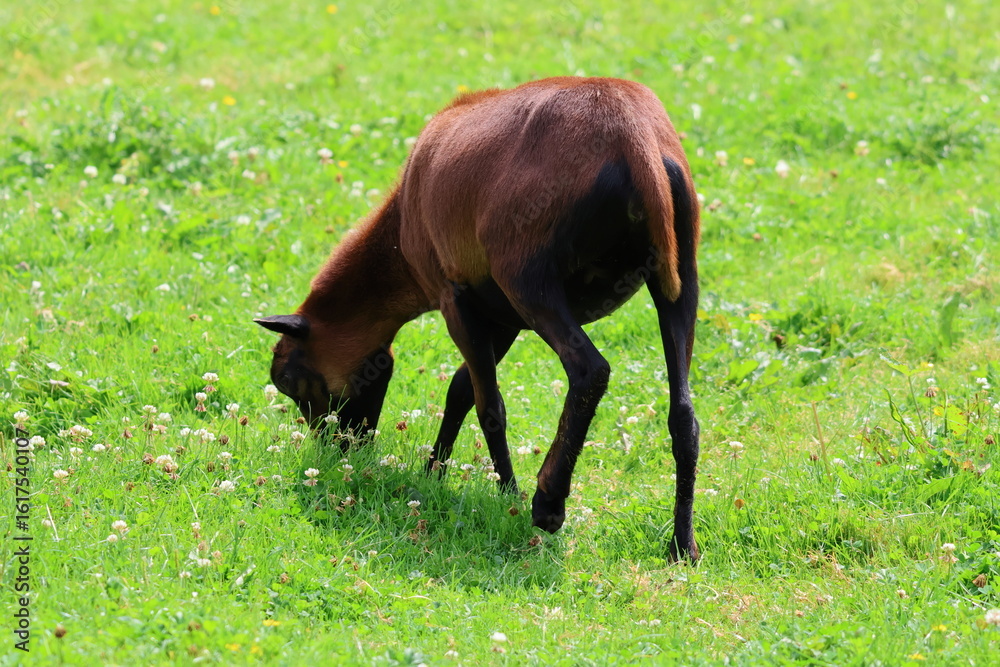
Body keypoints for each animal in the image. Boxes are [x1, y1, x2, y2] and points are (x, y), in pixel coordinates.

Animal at [256, 76, 701, 560]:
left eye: (289, 379)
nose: (337, 449)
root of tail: (636, 142)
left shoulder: (456, 298)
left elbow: (489, 406)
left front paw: (507, 493)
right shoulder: (500, 317)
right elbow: (460, 391)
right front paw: (434, 471)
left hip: (529, 277)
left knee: (590, 370)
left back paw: (548, 502)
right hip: (679, 273)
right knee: (683, 414)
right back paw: (682, 543)